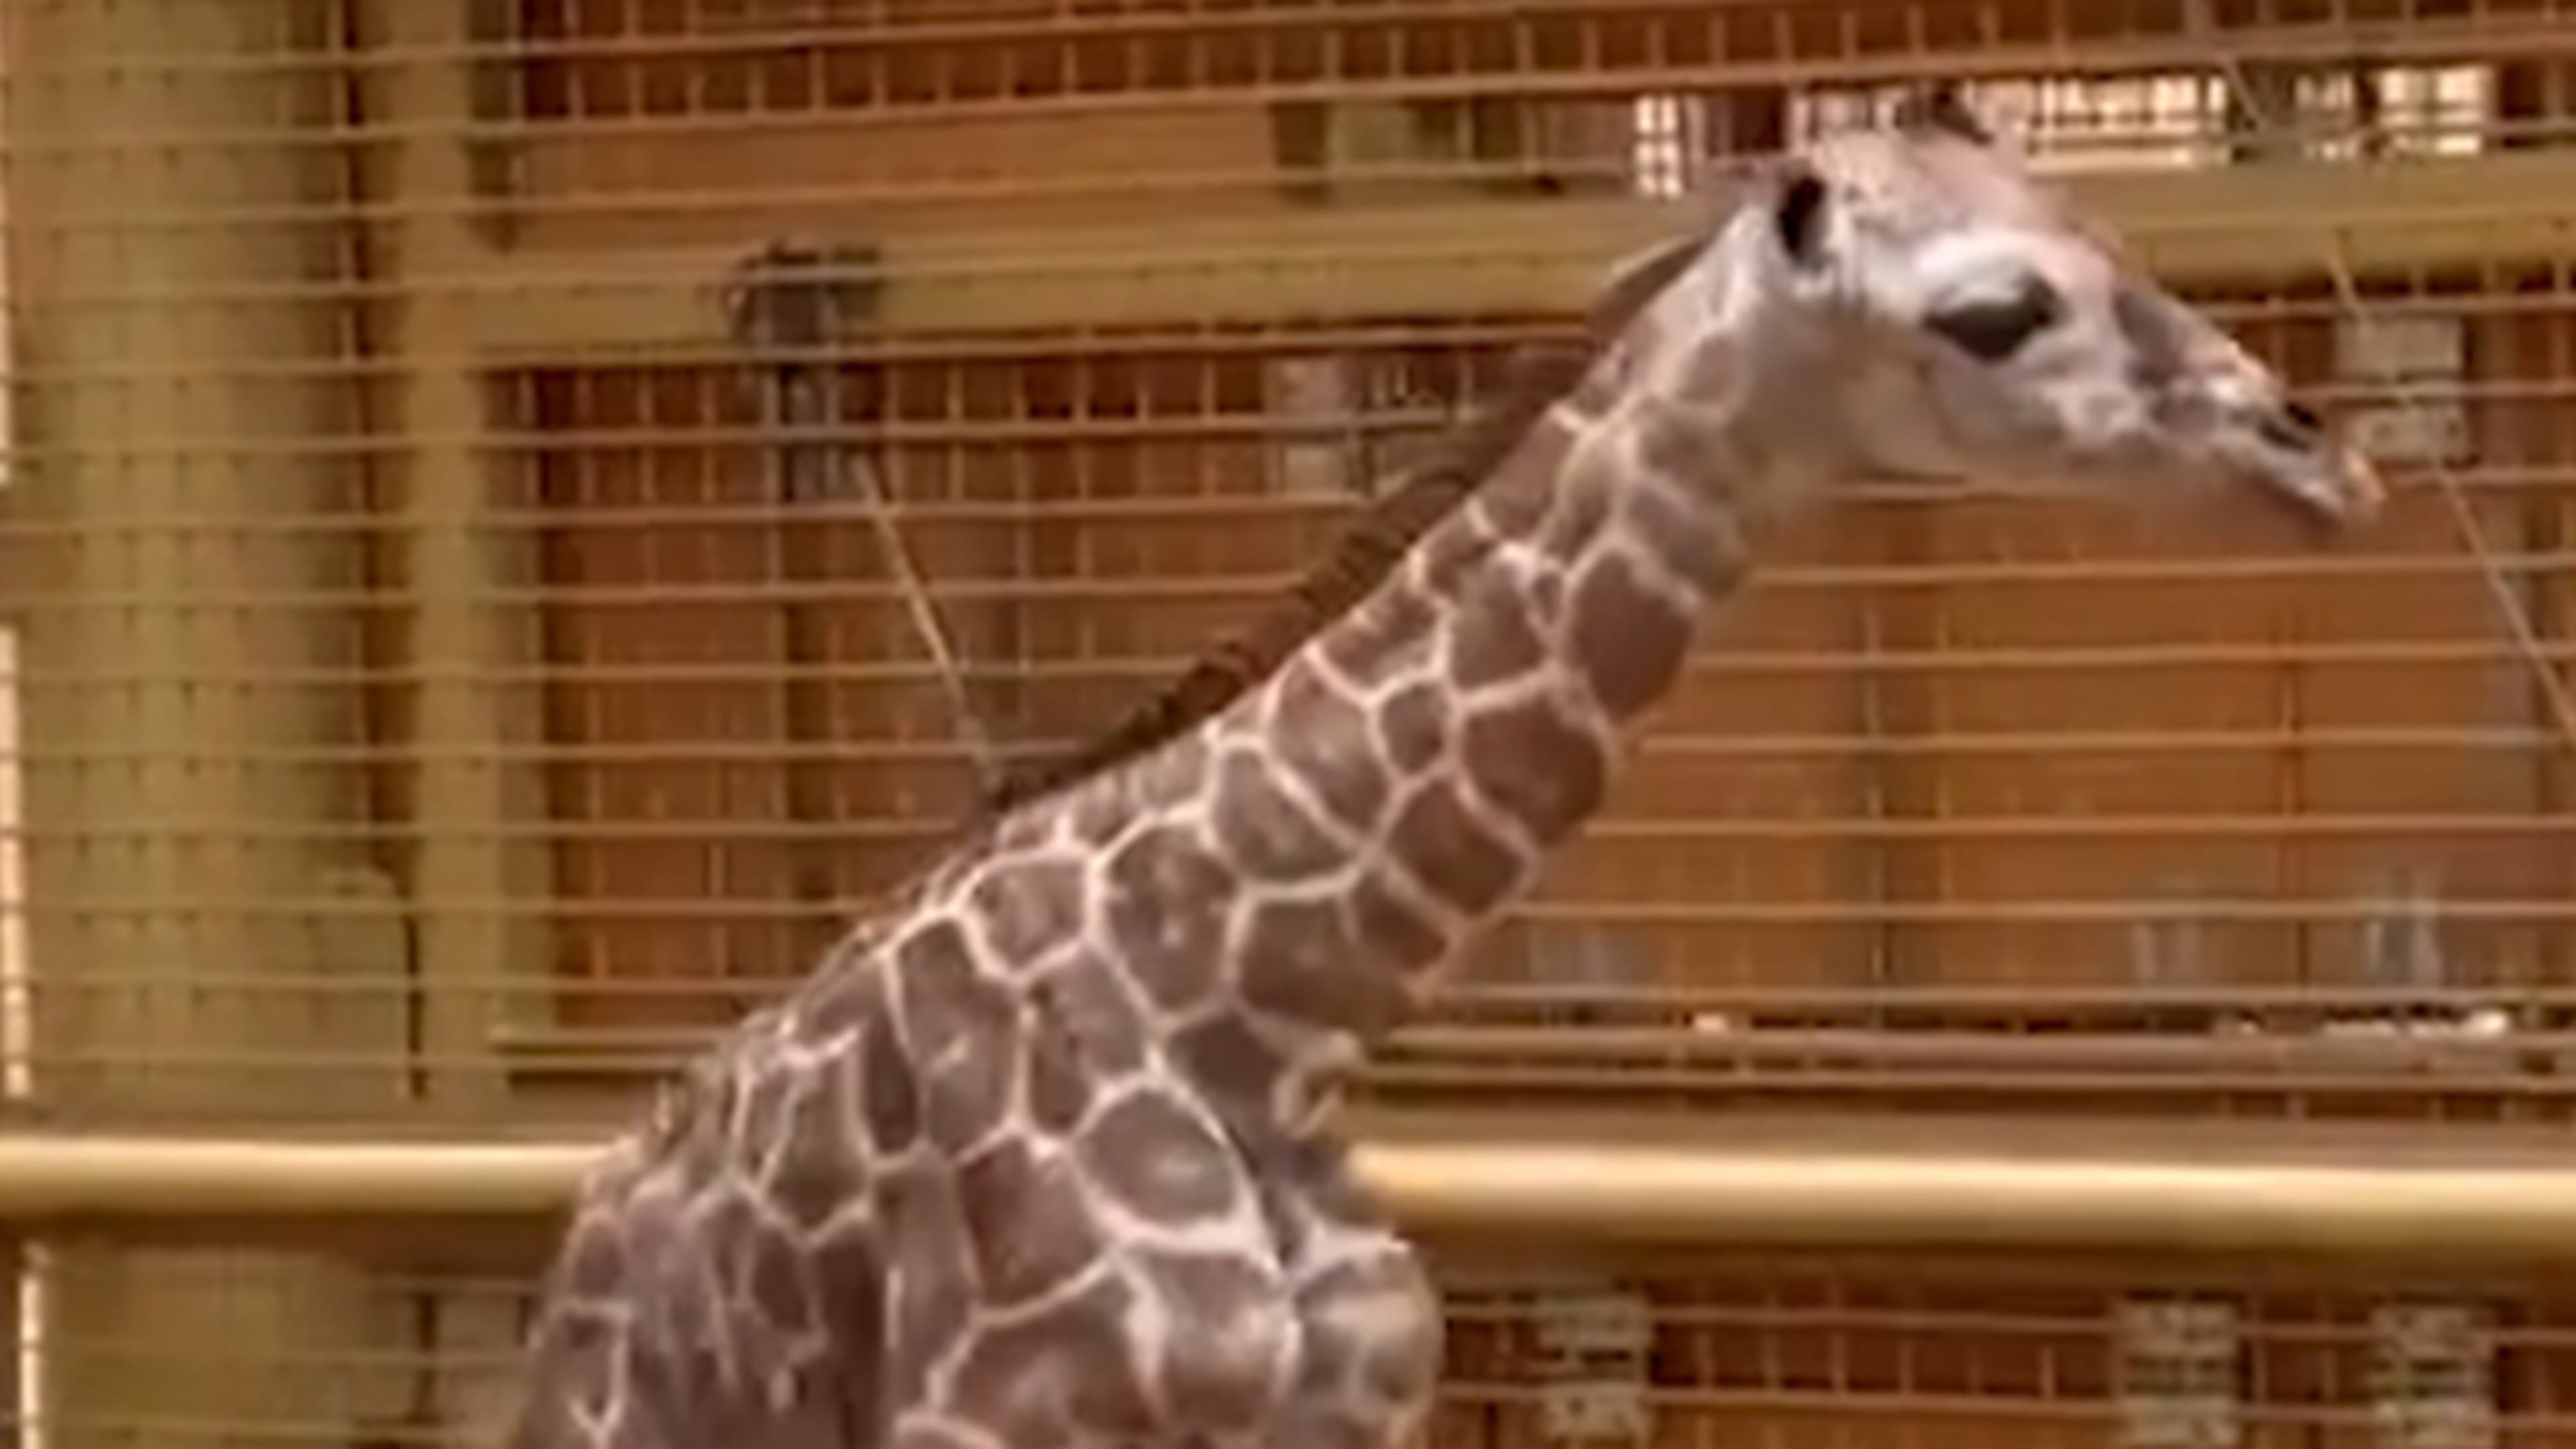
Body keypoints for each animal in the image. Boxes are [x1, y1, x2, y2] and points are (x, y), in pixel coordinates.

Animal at [504, 89, 2382, 1449]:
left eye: (2112, 234)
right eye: (1997, 310)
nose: (2319, 456)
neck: (1244, 1004)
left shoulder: (1344, 1408)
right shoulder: (987, 1417)